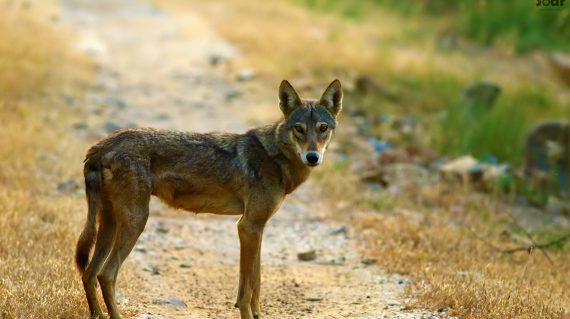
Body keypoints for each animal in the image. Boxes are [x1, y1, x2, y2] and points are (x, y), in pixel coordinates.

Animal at [74, 79, 342, 318]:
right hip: (135, 221)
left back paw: (97, 315)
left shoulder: (257, 227)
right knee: (106, 274)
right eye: (299, 129)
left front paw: (257, 313)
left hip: (109, 223)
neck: (275, 157)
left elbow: (256, 281)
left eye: (322, 128)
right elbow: (246, 289)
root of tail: (101, 145)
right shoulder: (247, 226)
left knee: (89, 273)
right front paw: (248, 314)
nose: (312, 157)